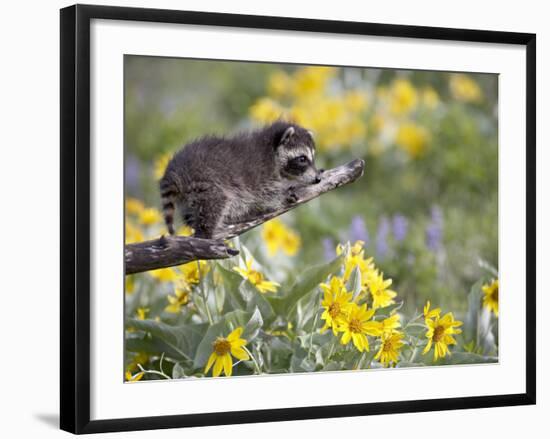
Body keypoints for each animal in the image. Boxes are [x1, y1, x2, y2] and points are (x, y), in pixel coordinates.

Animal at [160, 121, 324, 241]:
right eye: (302, 159)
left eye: (313, 158)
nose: (317, 179)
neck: (271, 150)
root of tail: (175, 170)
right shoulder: (260, 175)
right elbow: (266, 197)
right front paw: (284, 193)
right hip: (205, 180)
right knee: (216, 202)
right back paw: (206, 233)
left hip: (187, 196)